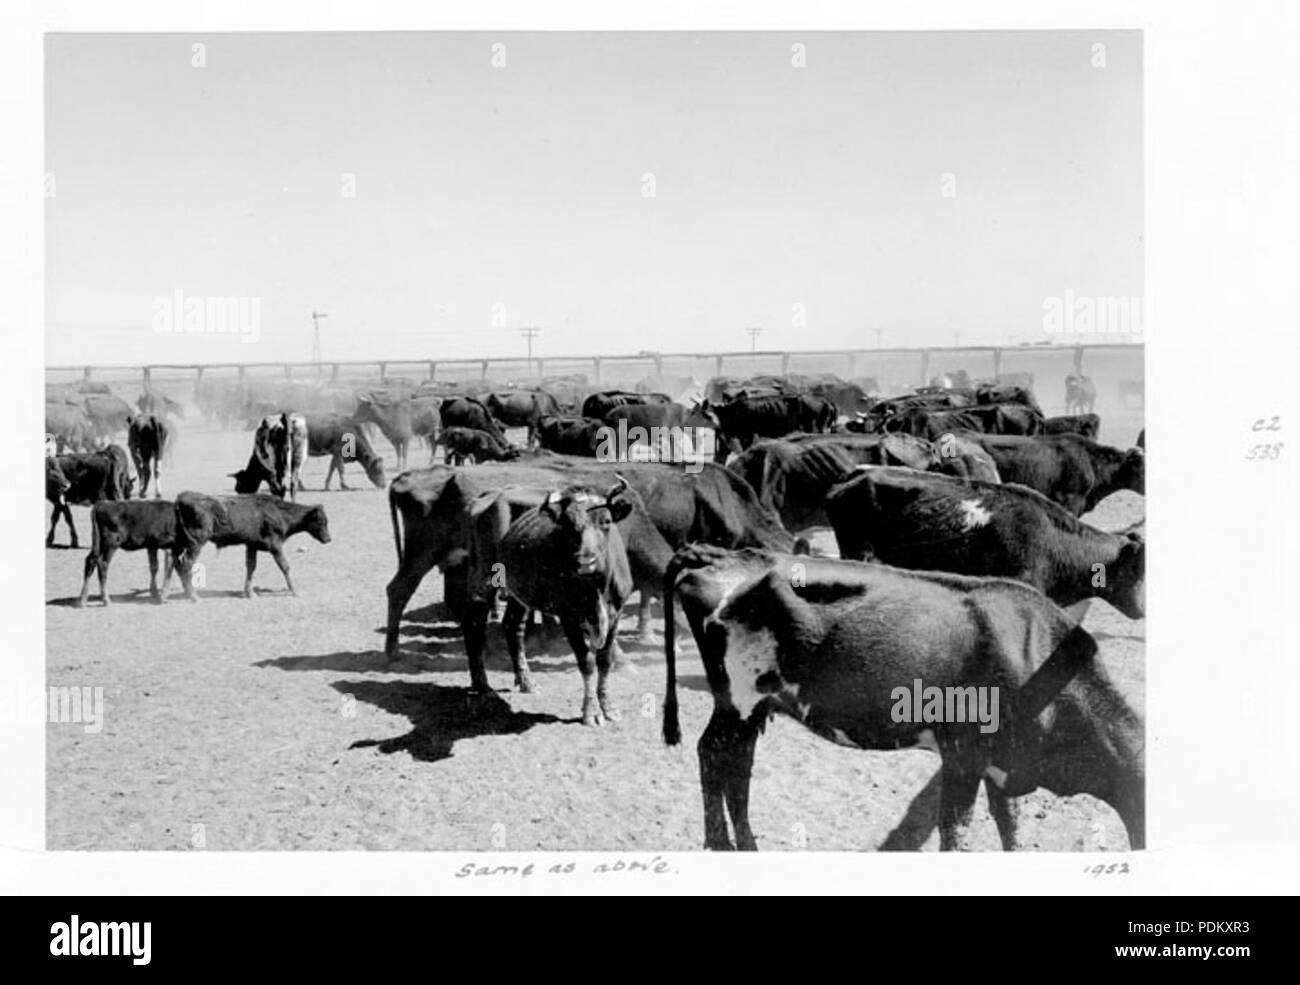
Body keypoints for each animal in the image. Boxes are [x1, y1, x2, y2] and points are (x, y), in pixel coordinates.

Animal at [171, 493, 330, 602]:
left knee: (177, 564)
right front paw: (295, 591)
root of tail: (182, 497)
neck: (280, 512)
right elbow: (285, 567)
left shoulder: (251, 545)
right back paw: (194, 596)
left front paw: (249, 593)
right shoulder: (275, 546)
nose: (329, 539)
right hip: (196, 543)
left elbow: (251, 567)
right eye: (320, 520)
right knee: (186, 564)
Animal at [665, 543, 1144, 852]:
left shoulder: (1003, 761)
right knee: (713, 754)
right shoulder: (963, 753)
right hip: (738, 698)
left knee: (736, 764)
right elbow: (956, 832)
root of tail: (715, 554)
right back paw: (720, 843)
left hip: (753, 705)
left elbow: (1011, 824)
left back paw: (744, 845)